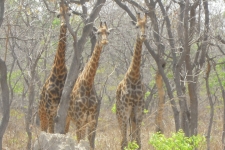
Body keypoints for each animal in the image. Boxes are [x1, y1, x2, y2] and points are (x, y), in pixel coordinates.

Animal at [66, 21, 112, 149]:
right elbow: (79, 142)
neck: (88, 84)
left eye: (108, 32)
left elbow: (90, 144)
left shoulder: (91, 121)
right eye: (98, 32)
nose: (104, 41)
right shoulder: (79, 120)